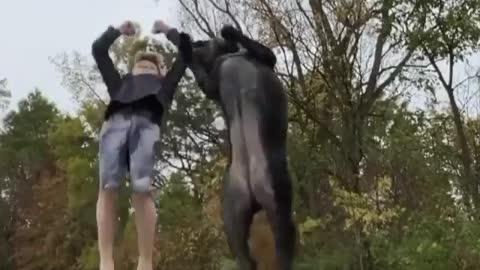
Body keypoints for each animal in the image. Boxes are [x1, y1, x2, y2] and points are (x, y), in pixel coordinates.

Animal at [184, 25, 296, 270]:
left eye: (203, 42)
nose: (196, 42)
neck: (228, 56)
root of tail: (250, 187)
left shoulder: (214, 82)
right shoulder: (265, 56)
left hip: (236, 218)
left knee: (248, 259)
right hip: (272, 203)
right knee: (281, 251)